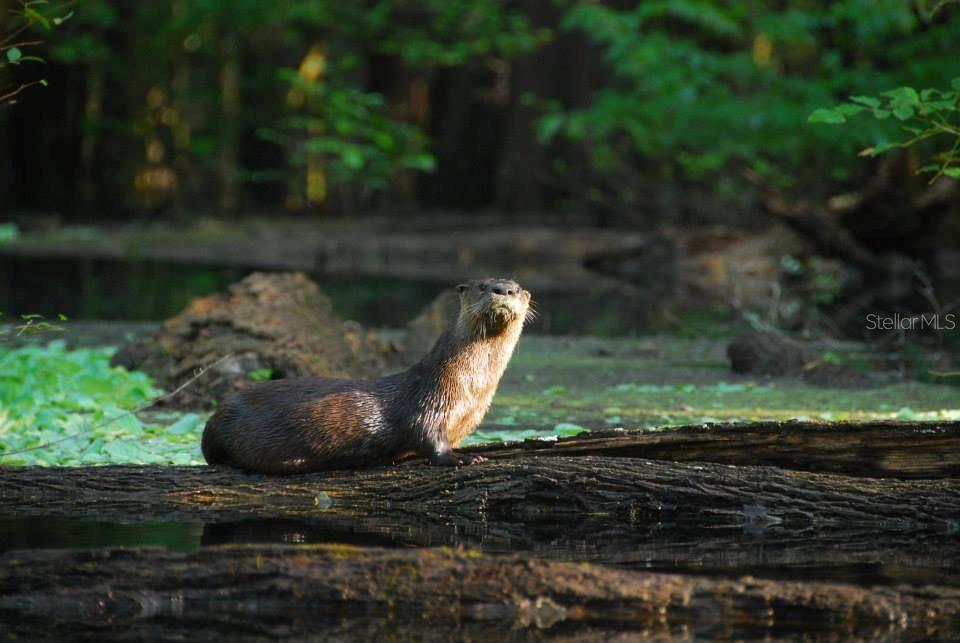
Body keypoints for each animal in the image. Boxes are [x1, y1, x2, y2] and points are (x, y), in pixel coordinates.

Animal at [201, 278, 532, 474]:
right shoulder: (430, 401)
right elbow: (428, 437)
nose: (503, 290)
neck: (470, 387)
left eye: (515, 288)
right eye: (482, 286)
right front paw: (461, 458)